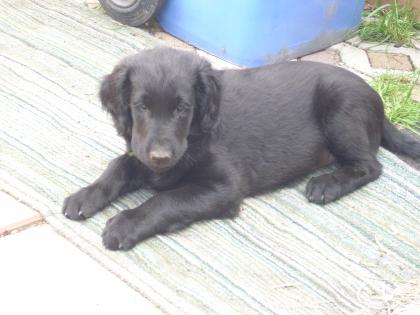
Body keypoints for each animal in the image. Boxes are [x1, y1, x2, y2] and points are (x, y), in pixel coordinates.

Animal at [62, 47, 420, 251]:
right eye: (141, 107)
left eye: (183, 108)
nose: (162, 157)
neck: (194, 137)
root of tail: (377, 100)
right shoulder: (140, 152)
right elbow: (118, 167)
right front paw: (85, 195)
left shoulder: (225, 187)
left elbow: (166, 199)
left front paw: (126, 223)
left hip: (340, 109)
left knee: (370, 166)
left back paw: (327, 184)